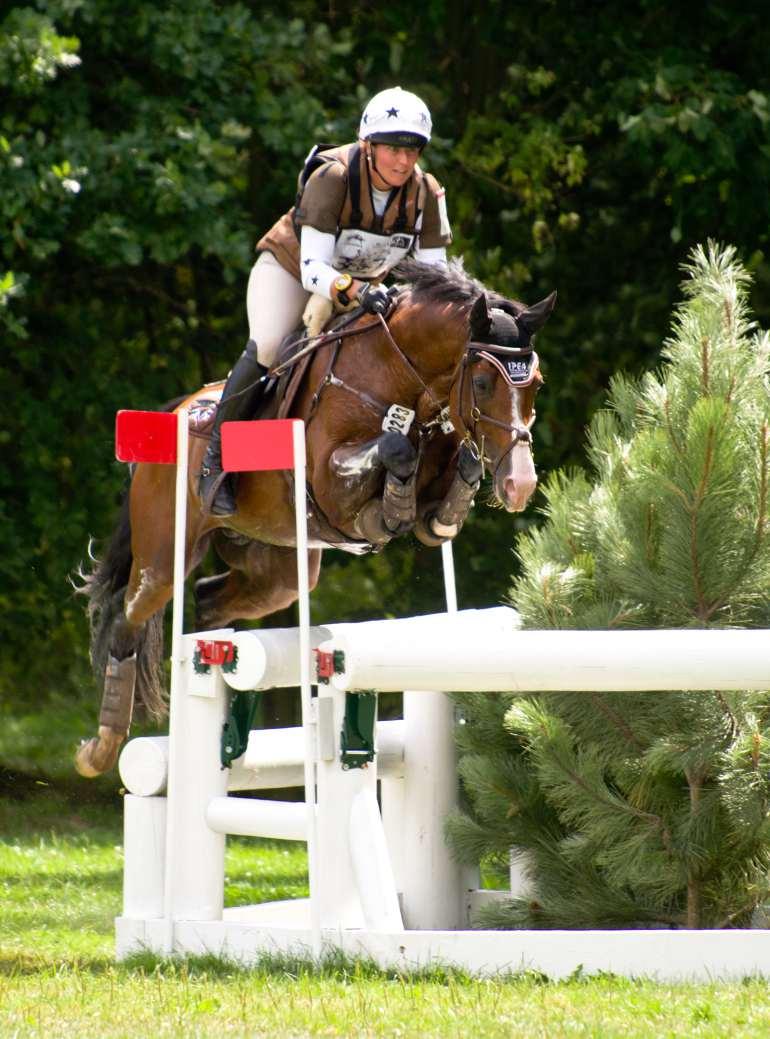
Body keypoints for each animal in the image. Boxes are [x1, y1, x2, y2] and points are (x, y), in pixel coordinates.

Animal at [75, 261, 552, 773]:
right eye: (482, 383)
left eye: (536, 385)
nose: (520, 485)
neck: (397, 375)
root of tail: (175, 412)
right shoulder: (329, 477)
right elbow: (394, 448)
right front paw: (389, 509)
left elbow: (452, 483)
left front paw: (427, 501)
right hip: (164, 555)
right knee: (128, 616)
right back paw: (100, 748)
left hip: (278, 572)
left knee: (209, 598)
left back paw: (213, 658)